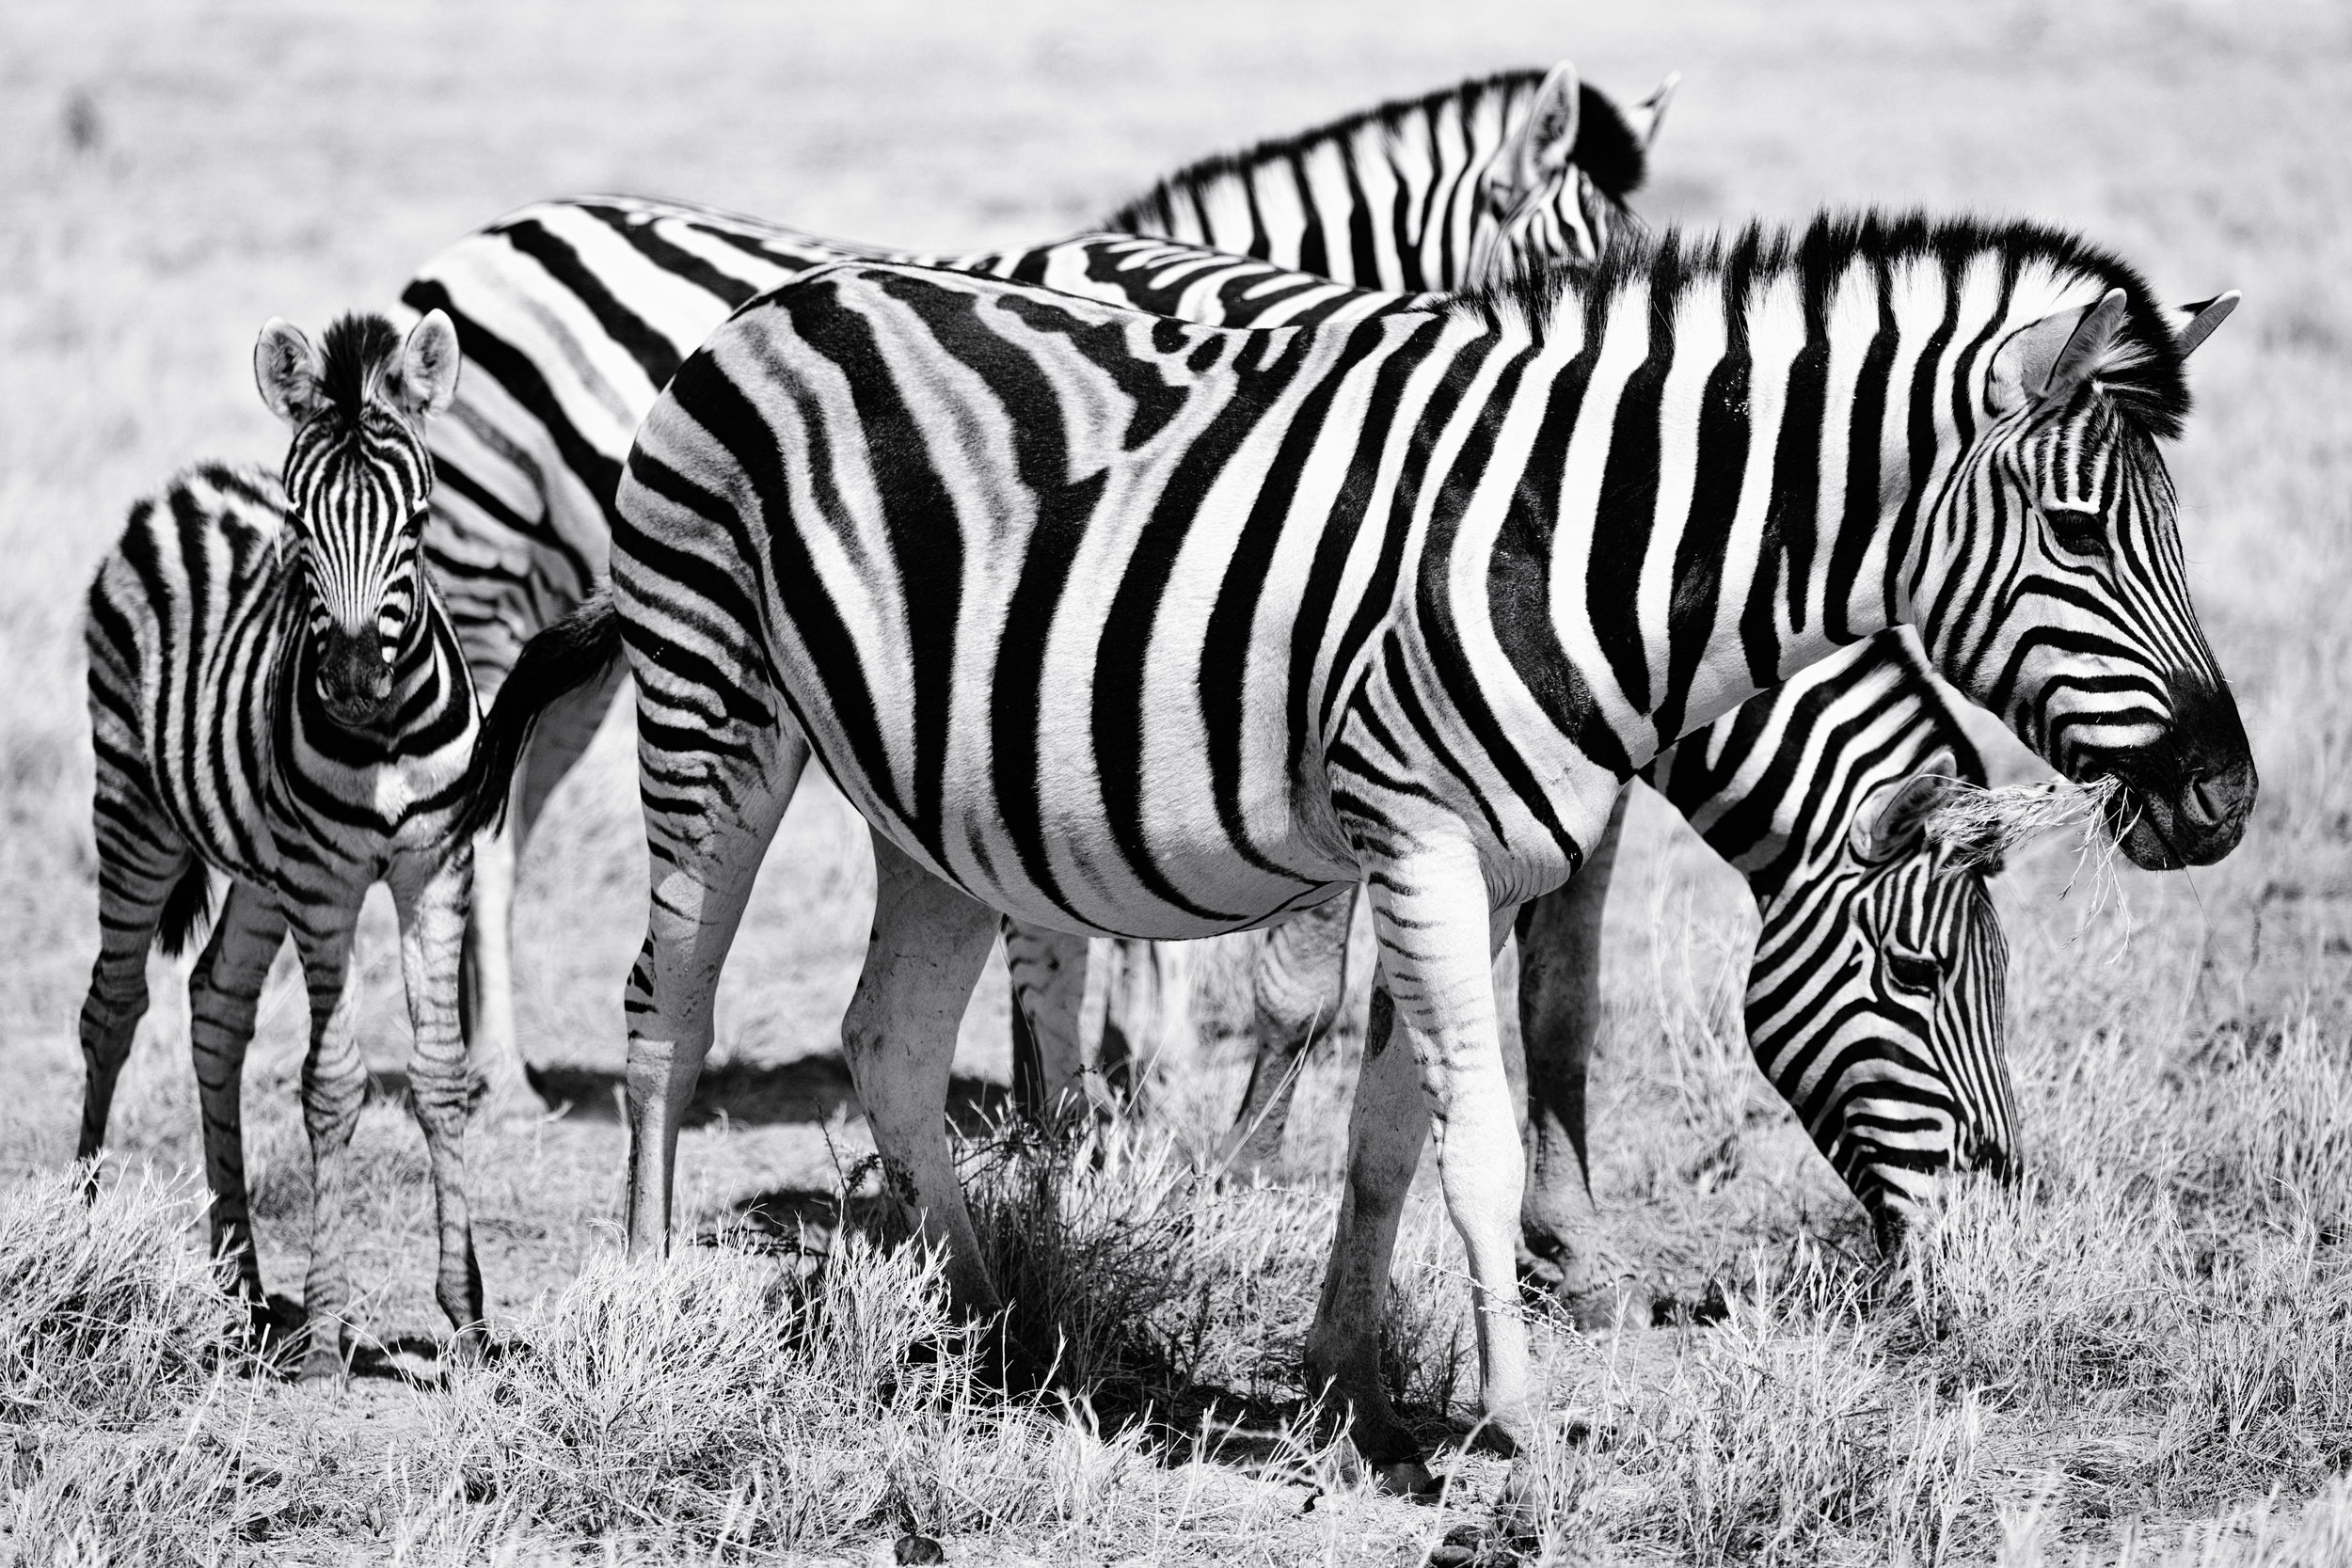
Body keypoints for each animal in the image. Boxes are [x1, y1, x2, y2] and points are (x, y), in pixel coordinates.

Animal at [79, 312, 486, 1382]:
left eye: (418, 523)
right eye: (301, 528)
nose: (347, 679)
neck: (384, 738)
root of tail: (186, 485)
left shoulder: (435, 866)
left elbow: (440, 1077)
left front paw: (468, 1320)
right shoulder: (326, 884)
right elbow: (332, 1082)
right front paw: (329, 1329)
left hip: (262, 868)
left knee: (216, 1001)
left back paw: (243, 1279)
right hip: (132, 808)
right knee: (112, 1008)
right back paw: (79, 1222)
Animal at [400, 61, 1675, 1109]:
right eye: (1564, 270)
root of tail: (470, 248)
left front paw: (1125, 1066)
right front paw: (1108, 1078)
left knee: (513, 810)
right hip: (488, 570)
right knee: (477, 826)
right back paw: (502, 1080)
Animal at [486, 214, 2249, 1495]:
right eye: (1916, 970)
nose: (2225, 795)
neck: (1586, 556)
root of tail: (786, 297)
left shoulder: (1495, 858)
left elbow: (1400, 1133)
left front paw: (1358, 1382)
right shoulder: (1418, 832)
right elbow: (1472, 1138)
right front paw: (1521, 1424)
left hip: (932, 792)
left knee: (889, 1041)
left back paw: (998, 1322)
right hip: (714, 697)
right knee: (668, 1002)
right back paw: (649, 1295)